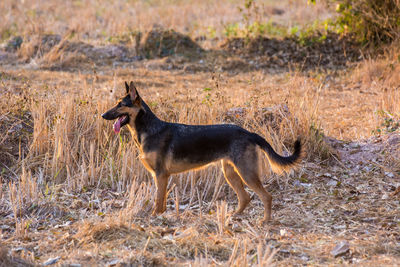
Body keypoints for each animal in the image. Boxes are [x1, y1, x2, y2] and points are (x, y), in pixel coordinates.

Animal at [101, 82, 302, 224]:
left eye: (120, 105)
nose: (103, 115)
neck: (149, 129)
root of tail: (248, 133)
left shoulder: (161, 174)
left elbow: (158, 200)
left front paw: (154, 216)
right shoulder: (159, 176)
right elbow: (162, 199)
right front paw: (161, 215)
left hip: (247, 173)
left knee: (266, 196)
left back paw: (265, 221)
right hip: (230, 173)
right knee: (245, 198)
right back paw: (233, 216)